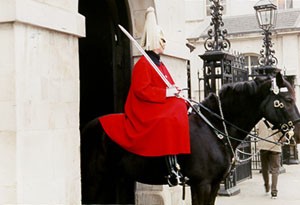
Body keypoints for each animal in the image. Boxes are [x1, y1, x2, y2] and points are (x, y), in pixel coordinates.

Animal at [81, 72, 300, 205]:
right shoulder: (201, 184)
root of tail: (87, 125)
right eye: (287, 100)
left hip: (114, 177)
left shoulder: (213, 184)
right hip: (94, 179)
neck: (215, 128)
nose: (297, 133)